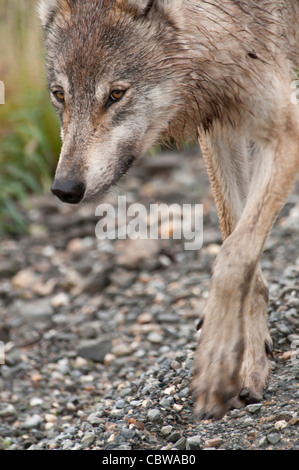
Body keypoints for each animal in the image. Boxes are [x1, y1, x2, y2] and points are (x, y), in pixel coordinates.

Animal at [38, 0, 299, 418]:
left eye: (116, 94)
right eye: (60, 95)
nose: (65, 188)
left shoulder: (284, 131)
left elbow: (233, 257)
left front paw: (216, 364)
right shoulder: (219, 121)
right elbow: (239, 244)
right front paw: (247, 361)